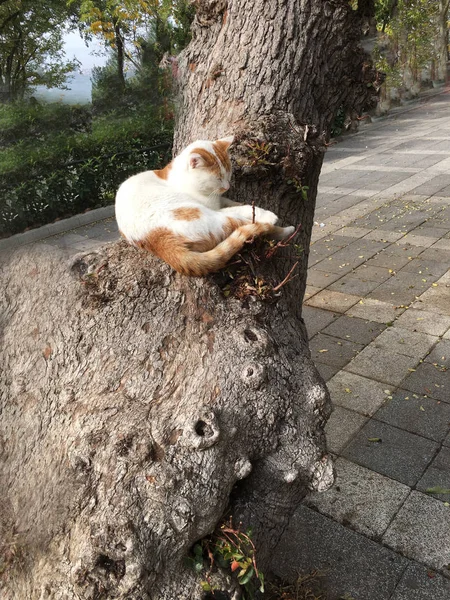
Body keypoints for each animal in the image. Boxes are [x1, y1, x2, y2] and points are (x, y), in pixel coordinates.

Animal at [115, 137, 296, 276]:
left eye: (229, 173)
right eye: (218, 178)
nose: (227, 186)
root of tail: (156, 240)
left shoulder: (218, 201)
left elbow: (231, 202)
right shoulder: (214, 207)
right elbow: (238, 208)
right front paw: (261, 212)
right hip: (209, 217)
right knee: (245, 223)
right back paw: (282, 226)